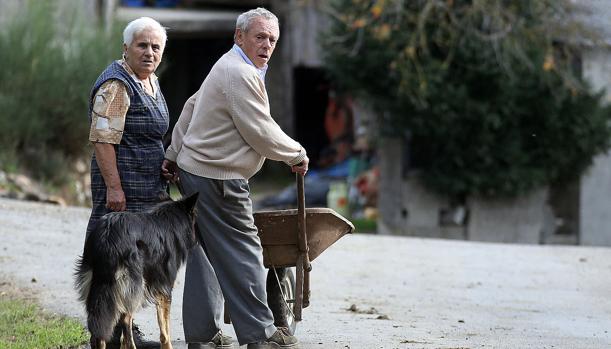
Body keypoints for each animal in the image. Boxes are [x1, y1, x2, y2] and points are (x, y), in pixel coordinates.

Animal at [74, 192, 198, 346]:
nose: (197, 242)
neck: (170, 221)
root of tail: (107, 236)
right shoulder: (164, 289)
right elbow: (165, 331)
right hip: (134, 286)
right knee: (126, 320)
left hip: (98, 286)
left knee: (100, 328)